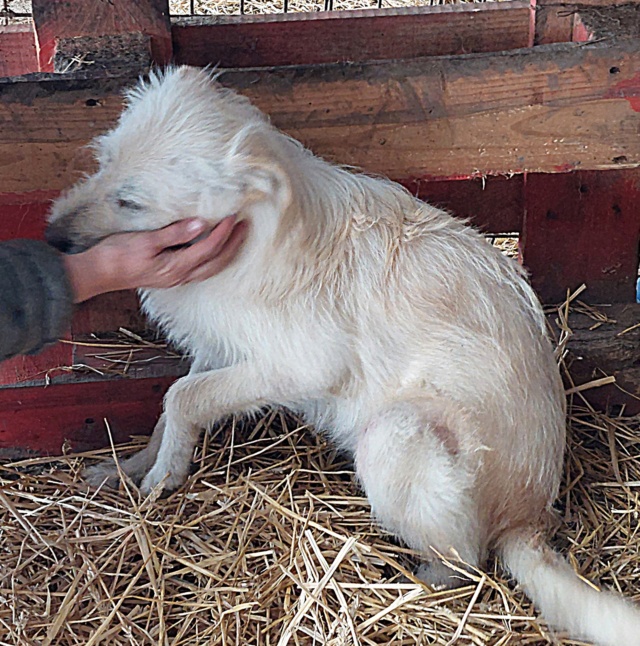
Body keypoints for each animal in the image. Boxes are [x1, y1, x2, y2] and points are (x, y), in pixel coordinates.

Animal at [47, 67, 640, 646]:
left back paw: (415, 582)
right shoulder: (221, 348)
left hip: (393, 433)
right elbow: (169, 409)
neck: (254, 236)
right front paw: (130, 467)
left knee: (467, 562)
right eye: (103, 161)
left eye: (131, 201)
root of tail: (528, 517)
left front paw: (162, 477)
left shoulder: (298, 364)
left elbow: (182, 397)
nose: (51, 237)